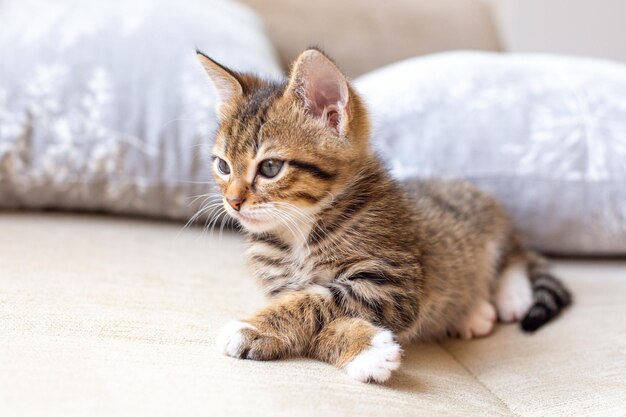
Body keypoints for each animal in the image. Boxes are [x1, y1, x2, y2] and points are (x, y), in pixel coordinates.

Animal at [196, 47, 572, 382]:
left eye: (270, 167)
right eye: (223, 166)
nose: (232, 201)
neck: (299, 231)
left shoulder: (392, 282)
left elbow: (319, 299)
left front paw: (252, 326)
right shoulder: (278, 284)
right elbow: (313, 311)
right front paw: (365, 350)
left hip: (486, 218)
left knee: (515, 253)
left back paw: (511, 296)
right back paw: (473, 314)